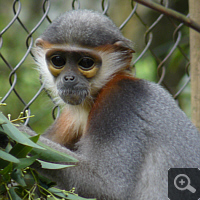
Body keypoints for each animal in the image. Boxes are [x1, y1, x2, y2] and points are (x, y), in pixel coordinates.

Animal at [16, 9, 200, 200]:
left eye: (86, 63)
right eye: (58, 60)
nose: (69, 78)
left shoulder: (120, 99)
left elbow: (110, 187)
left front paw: (14, 133)